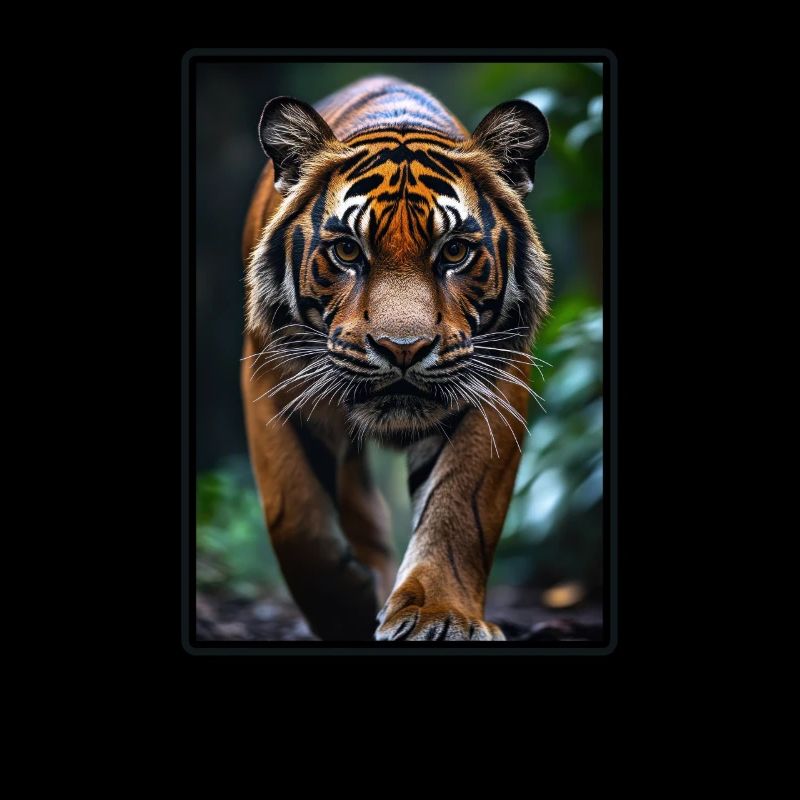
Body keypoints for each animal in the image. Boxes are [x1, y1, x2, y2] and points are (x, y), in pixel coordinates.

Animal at [241, 76, 551, 641]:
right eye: (346, 251)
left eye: (454, 252)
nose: (402, 348)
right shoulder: (270, 373)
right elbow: (296, 517)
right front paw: (346, 609)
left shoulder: (496, 379)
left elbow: (459, 504)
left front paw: (440, 616)